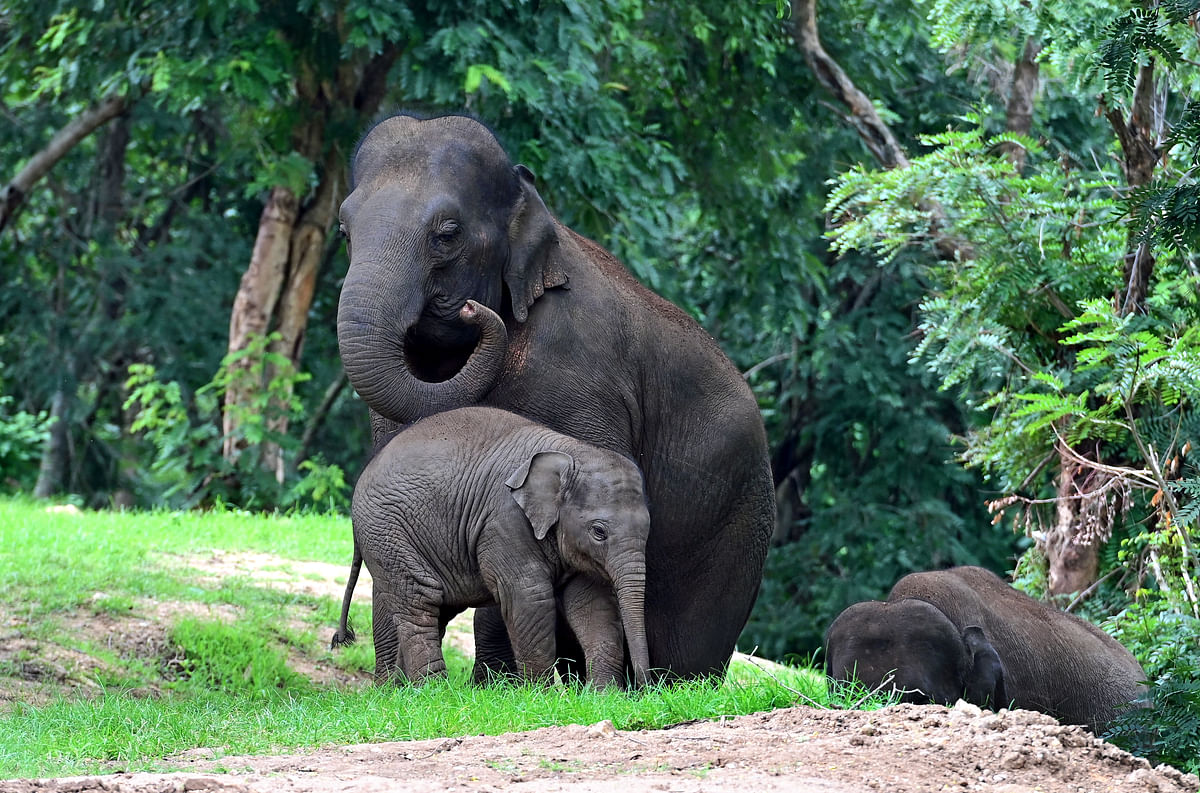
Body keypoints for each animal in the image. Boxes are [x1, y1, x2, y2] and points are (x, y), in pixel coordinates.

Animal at [328, 398, 652, 691]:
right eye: (599, 531)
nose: (648, 688)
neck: (570, 451)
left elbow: (592, 602)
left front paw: (604, 696)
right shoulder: (503, 520)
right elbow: (529, 596)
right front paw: (543, 696)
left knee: (436, 609)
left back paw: (401, 691)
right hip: (388, 534)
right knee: (419, 602)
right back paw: (433, 691)